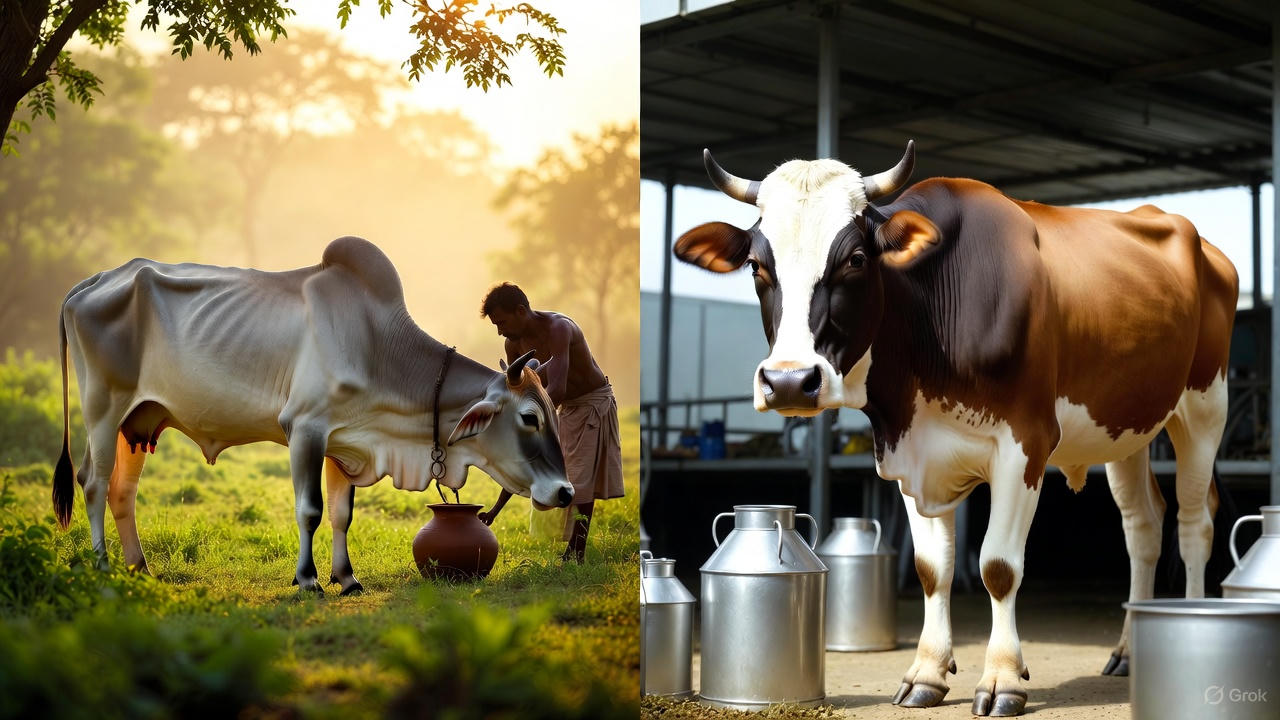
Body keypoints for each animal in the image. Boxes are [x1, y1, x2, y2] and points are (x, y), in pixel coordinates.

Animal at [52, 236, 574, 594]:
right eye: (530, 417)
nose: (566, 492)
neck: (377, 346)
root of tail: (91, 283)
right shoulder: (305, 430)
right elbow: (311, 510)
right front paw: (308, 580)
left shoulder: (346, 443)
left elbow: (342, 515)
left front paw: (348, 578)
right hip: (103, 409)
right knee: (93, 482)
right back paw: (103, 566)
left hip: (137, 423)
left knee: (122, 491)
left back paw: (139, 569)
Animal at [674, 141, 1237, 716]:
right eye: (756, 266)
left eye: (856, 259)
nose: (789, 381)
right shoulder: (909, 456)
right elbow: (931, 568)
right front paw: (927, 671)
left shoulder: (1026, 445)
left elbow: (999, 566)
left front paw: (1004, 679)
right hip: (1128, 427)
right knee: (1143, 525)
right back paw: (1127, 651)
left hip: (1204, 409)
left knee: (1194, 522)